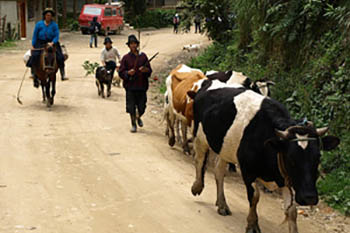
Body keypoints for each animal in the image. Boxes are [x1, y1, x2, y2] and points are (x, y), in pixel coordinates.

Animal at [189, 79, 340, 233]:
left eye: (318, 157)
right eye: (291, 158)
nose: (309, 197)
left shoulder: (284, 178)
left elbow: (292, 210)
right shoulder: (248, 170)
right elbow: (254, 196)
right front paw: (252, 224)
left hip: (225, 149)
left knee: (219, 171)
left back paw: (222, 204)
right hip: (200, 136)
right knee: (199, 160)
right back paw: (197, 186)